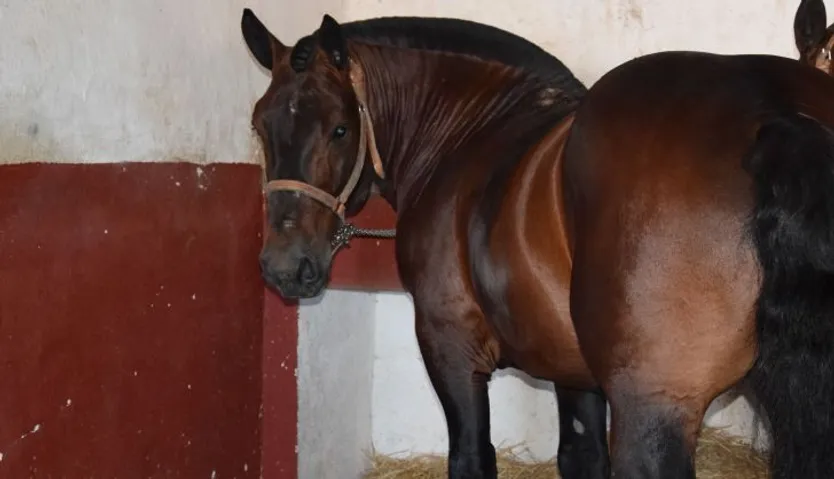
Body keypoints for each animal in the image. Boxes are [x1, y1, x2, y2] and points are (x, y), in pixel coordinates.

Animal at [241, 6, 834, 479]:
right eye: (259, 125)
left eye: (340, 128)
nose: (285, 267)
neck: (470, 136)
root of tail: (775, 111)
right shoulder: (575, 372)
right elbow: (580, 457)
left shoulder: (450, 348)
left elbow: (472, 458)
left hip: (653, 410)